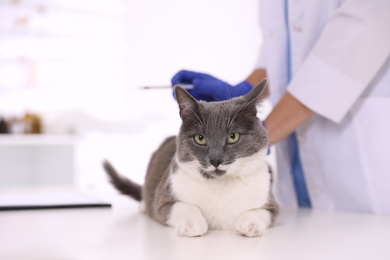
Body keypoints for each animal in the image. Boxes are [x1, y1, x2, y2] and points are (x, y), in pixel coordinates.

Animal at [102, 79, 278, 238]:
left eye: (233, 136)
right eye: (200, 138)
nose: (215, 160)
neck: (220, 184)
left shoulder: (271, 203)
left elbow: (261, 211)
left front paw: (251, 223)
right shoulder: (163, 199)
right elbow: (181, 206)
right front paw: (191, 223)